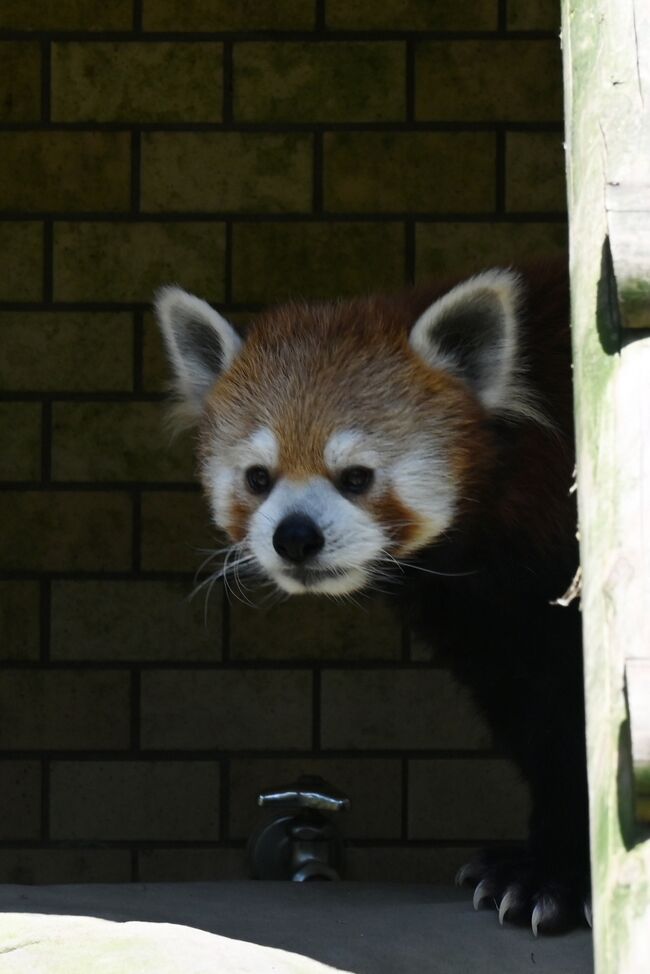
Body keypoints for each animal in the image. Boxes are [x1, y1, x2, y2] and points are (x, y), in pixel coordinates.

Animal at [156, 262, 588, 936]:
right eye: (259, 477)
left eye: (356, 477)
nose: (295, 537)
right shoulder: (486, 613)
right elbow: (536, 711)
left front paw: (553, 876)